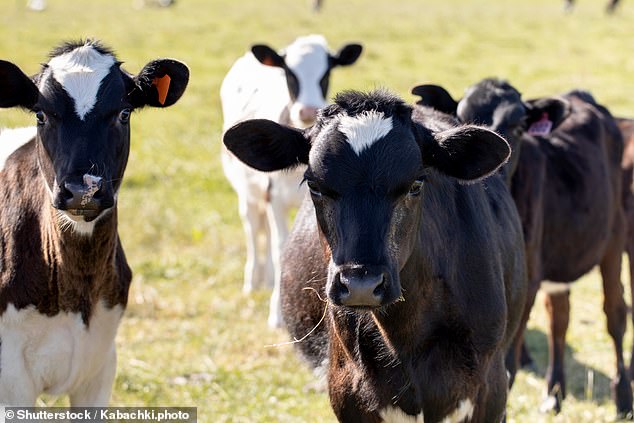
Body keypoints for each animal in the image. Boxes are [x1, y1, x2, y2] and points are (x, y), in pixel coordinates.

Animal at [220, 35, 360, 328]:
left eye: (327, 72)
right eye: (289, 72)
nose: (308, 109)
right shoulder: (274, 199)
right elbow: (280, 247)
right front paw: (278, 314)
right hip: (247, 194)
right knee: (253, 231)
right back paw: (254, 281)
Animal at [412, 79, 628, 418]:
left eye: (516, 126)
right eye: (461, 118)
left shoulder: (522, 284)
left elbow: (509, 366)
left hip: (614, 237)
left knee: (615, 314)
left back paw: (622, 399)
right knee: (559, 318)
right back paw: (554, 394)